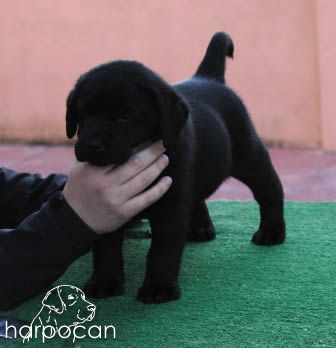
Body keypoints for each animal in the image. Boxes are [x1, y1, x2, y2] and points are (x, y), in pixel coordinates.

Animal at [66, 33, 286, 304]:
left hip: (248, 156)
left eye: (125, 116)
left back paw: (271, 232)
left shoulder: (170, 201)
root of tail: (208, 77)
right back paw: (201, 229)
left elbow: (163, 248)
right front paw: (105, 282)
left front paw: (158, 287)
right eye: (83, 114)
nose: (92, 145)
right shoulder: (109, 206)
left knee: (269, 189)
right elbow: (106, 245)